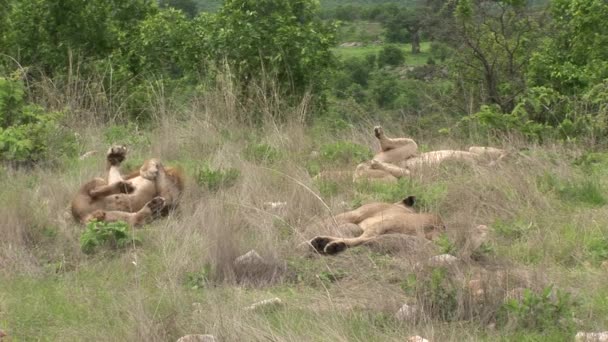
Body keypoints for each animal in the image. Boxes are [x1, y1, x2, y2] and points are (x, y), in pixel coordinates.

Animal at [306, 196, 444, 255]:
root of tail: (439, 227)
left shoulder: (357, 213)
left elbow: (328, 219)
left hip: (382, 223)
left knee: (363, 238)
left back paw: (325, 243)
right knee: (366, 240)